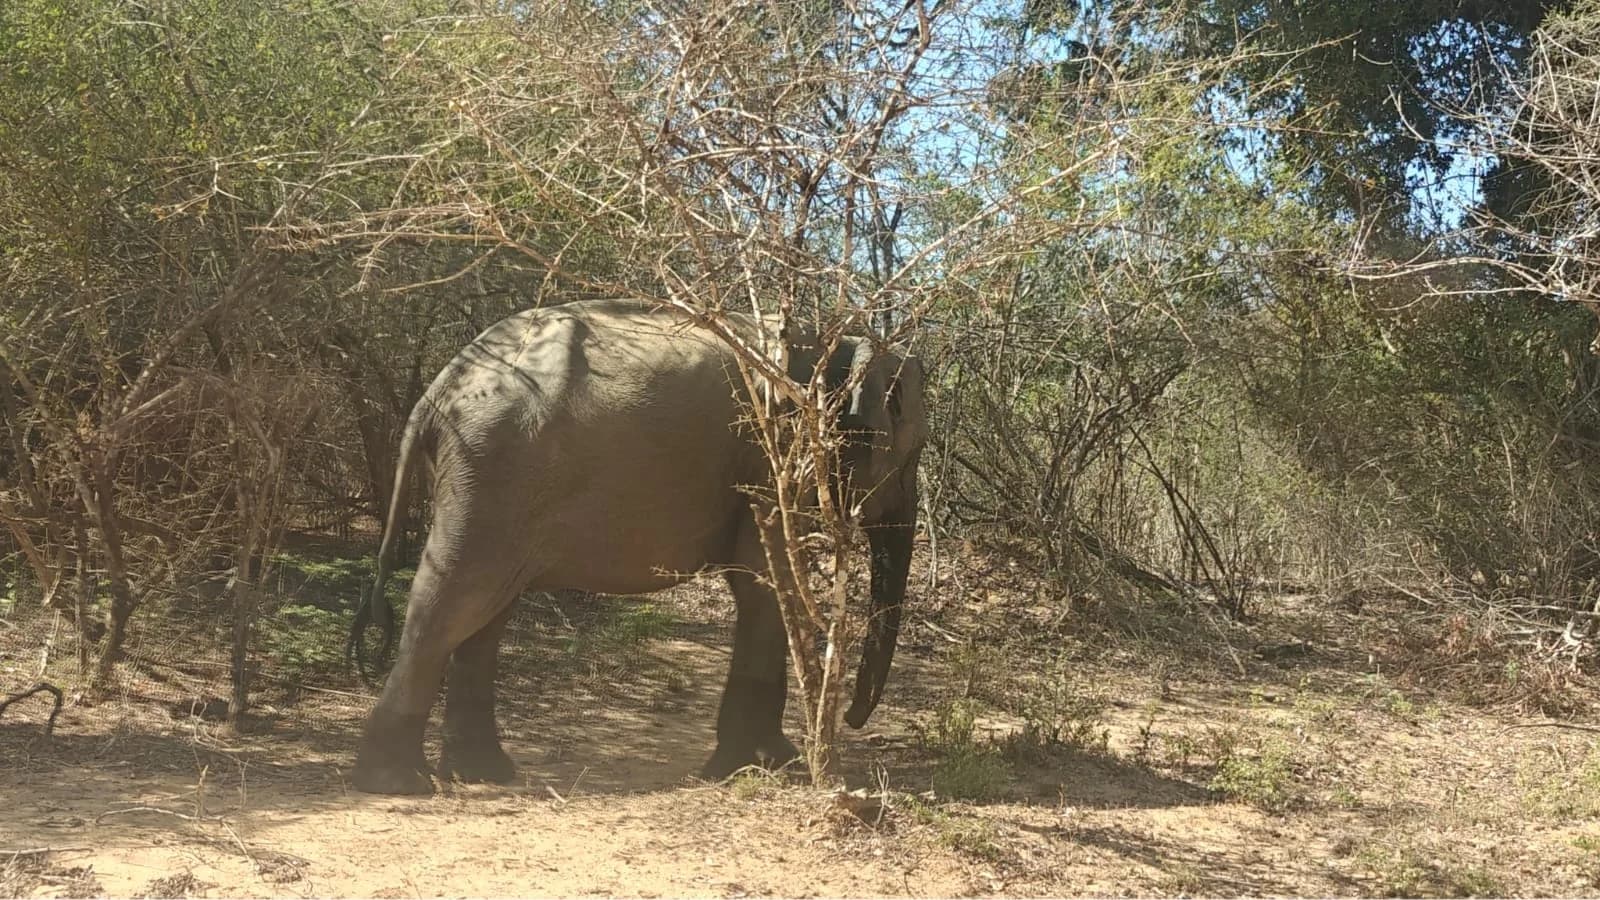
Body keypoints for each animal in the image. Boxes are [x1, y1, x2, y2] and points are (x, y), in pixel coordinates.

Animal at [345, 298, 927, 795]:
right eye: (911, 457)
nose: (852, 719)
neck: (841, 341)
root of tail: (437, 390)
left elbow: (761, 586)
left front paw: (764, 764)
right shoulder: (774, 457)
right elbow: (765, 584)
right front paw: (751, 769)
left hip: (486, 478)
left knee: (485, 610)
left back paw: (481, 774)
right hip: (491, 469)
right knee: (452, 600)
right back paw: (399, 783)